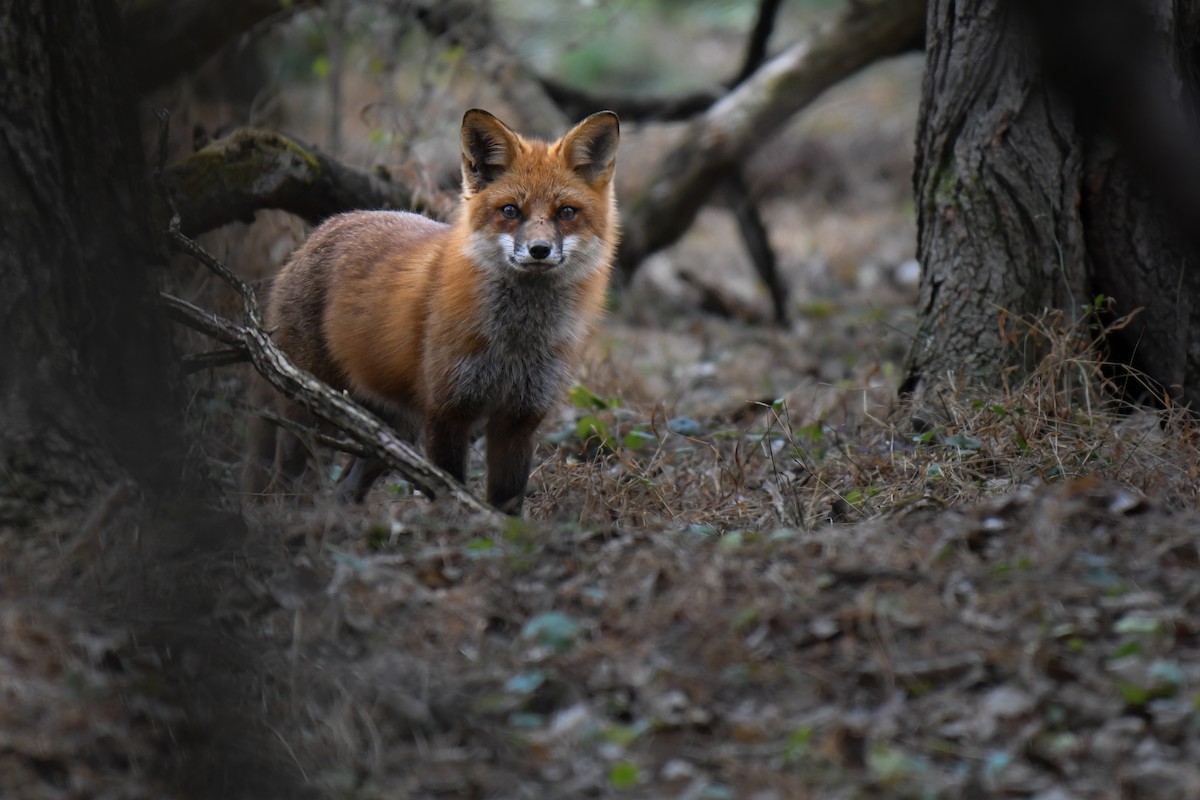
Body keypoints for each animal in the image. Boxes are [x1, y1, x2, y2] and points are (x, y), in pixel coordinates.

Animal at [242, 109, 620, 513]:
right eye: (510, 211)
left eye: (566, 212)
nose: (539, 250)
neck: (514, 342)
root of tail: (321, 230)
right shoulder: (446, 410)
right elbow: (448, 491)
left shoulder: (519, 418)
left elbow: (507, 504)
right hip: (312, 412)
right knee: (286, 479)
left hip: (393, 433)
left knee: (345, 490)